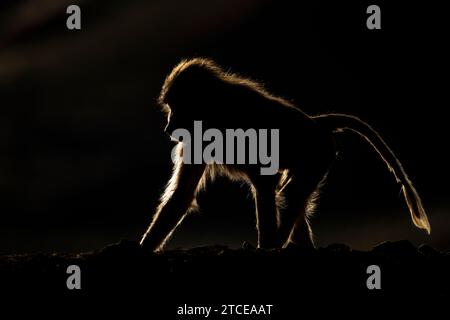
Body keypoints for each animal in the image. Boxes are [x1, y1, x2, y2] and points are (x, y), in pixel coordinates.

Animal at [140, 58, 428, 251]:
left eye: (175, 107)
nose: (168, 128)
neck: (214, 110)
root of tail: (316, 123)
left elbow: (264, 182)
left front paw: (266, 246)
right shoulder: (195, 140)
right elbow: (182, 195)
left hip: (318, 155)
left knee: (288, 194)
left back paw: (278, 243)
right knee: (291, 196)